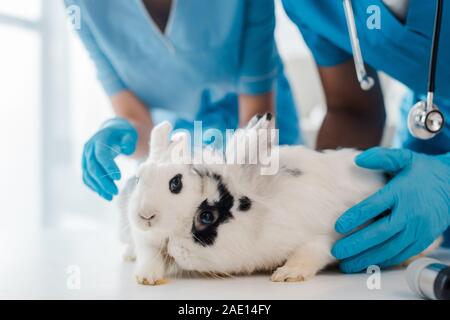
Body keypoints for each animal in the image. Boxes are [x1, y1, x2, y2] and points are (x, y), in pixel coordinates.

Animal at [122, 113, 432, 284]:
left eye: (206, 217)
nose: (173, 250)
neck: (264, 217)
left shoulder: (321, 237)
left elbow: (313, 252)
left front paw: (287, 274)